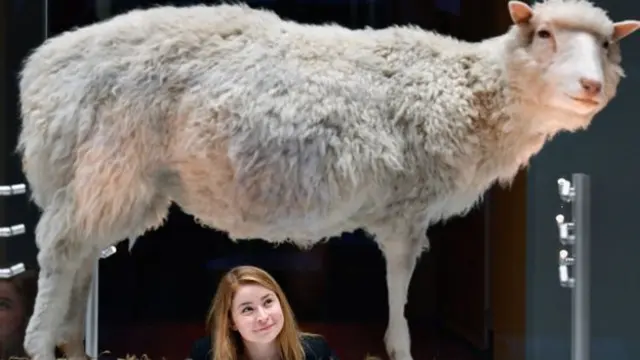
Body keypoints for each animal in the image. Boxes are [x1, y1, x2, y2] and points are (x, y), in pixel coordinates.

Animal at [16, 0, 640, 358]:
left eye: (608, 44)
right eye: (544, 34)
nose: (589, 86)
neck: (469, 91)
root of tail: (43, 66)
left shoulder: (405, 207)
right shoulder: (407, 205)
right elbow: (399, 281)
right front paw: (400, 348)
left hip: (98, 177)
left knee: (80, 254)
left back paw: (71, 341)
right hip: (111, 164)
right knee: (62, 249)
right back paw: (40, 343)